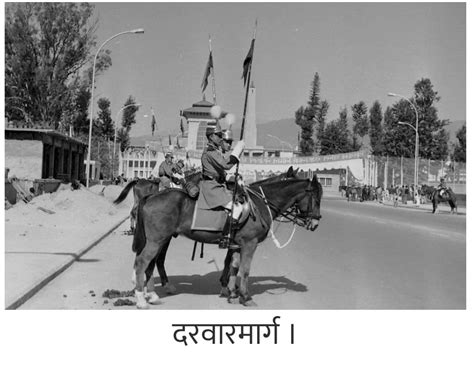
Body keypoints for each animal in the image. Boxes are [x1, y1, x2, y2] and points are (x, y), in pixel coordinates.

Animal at [131, 176, 320, 308]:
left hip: (160, 240)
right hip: (157, 240)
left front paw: (232, 293)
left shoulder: (237, 245)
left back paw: (152, 295)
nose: (316, 223)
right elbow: (245, 270)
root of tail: (152, 195)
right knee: (142, 262)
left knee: (151, 264)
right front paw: (245, 296)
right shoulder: (250, 244)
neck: (259, 203)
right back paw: (141, 299)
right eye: (316, 199)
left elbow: (234, 266)